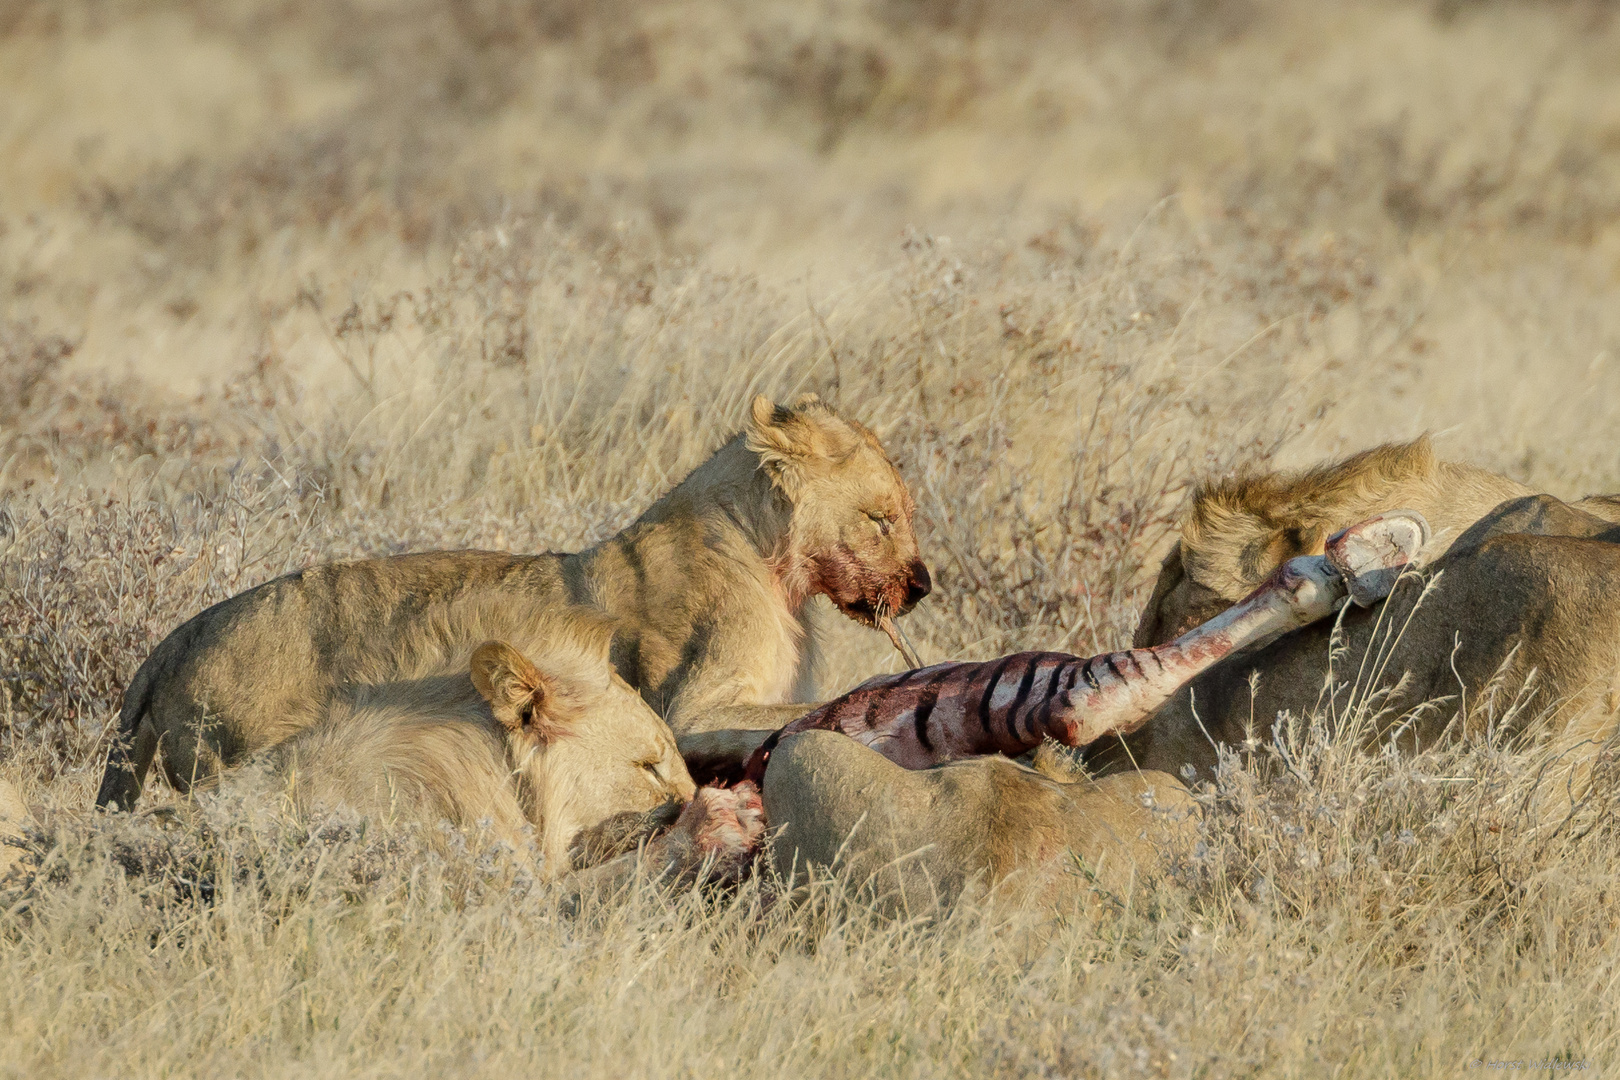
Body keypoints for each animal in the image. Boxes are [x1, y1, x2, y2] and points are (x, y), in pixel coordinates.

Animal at [101, 395, 933, 809]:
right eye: (882, 517)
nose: (924, 587)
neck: (771, 560)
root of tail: (171, 641)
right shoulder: (693, 707)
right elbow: (807, 709)